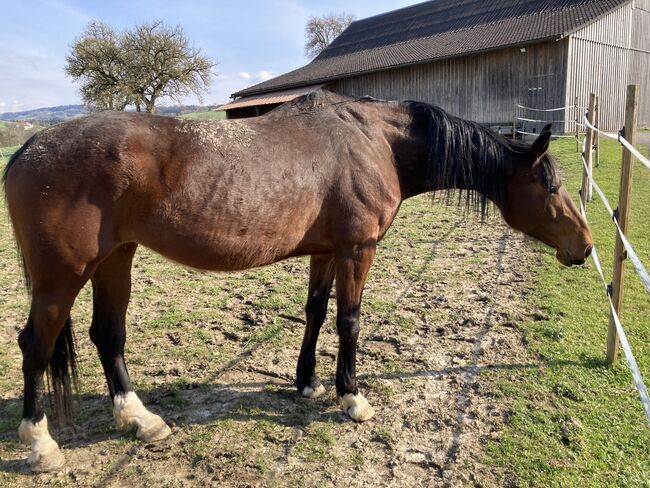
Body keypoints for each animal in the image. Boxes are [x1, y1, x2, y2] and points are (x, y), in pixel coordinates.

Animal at [2, 89, 588, 470]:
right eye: (549, 185)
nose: (584, 247)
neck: (374, 141)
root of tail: (28, 148)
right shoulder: (357, 250)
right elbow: (349, 320)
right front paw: (351, 397)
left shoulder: (326, 252)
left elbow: (316, 312)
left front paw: (306, 382)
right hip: (62, 277)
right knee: (35, 344)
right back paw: (40, 445)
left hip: (116, 259)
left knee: (109, 336)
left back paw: (139, 420)